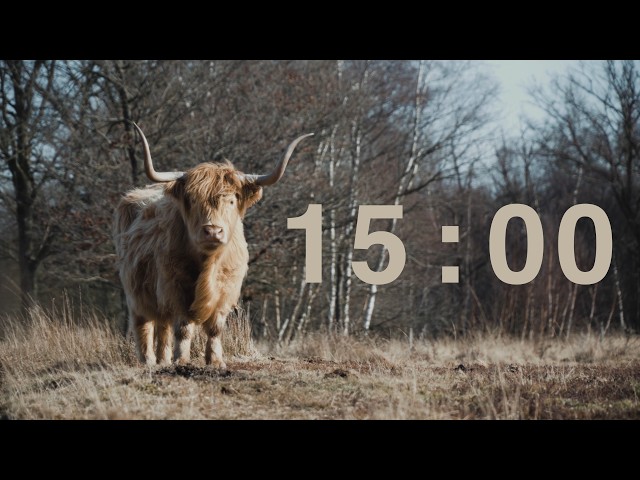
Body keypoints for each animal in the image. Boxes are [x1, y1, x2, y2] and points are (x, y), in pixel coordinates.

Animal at [114, 123, 313, 368]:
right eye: (192, 200)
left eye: (232, 200)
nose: (212, 231)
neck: (208, 263)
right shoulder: (175, 287)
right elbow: (183, 328)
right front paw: (182, 360)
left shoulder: (226, 288)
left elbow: (215, 328)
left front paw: (216, 361)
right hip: (135, 293)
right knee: (144, 324)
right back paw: (149, 361)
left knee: (163, 326)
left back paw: (163, 360)